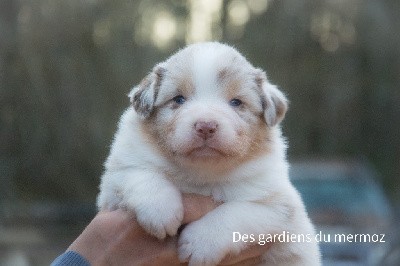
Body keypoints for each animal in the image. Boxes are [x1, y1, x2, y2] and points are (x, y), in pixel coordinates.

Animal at [97, 42, 322, 264]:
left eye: (236, 102)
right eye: (179, 99)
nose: (206, 126)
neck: (202, 175)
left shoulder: (280, 209)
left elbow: (237, 212)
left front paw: (199, 243)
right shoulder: (114, 182)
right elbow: (139, 173)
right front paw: (160, 211)